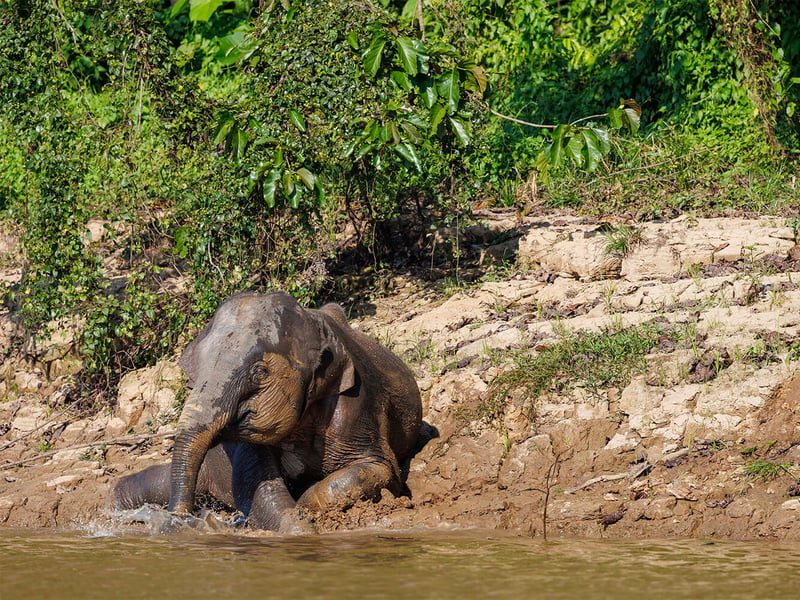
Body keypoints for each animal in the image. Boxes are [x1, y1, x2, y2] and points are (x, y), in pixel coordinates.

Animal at [111, 291, 422, 533]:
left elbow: (379, 468)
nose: (178, 522)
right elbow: (256, 485)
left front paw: (302, 504)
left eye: (259, 373)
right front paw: (298, 525)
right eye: (191, 375)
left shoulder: (356, 405)